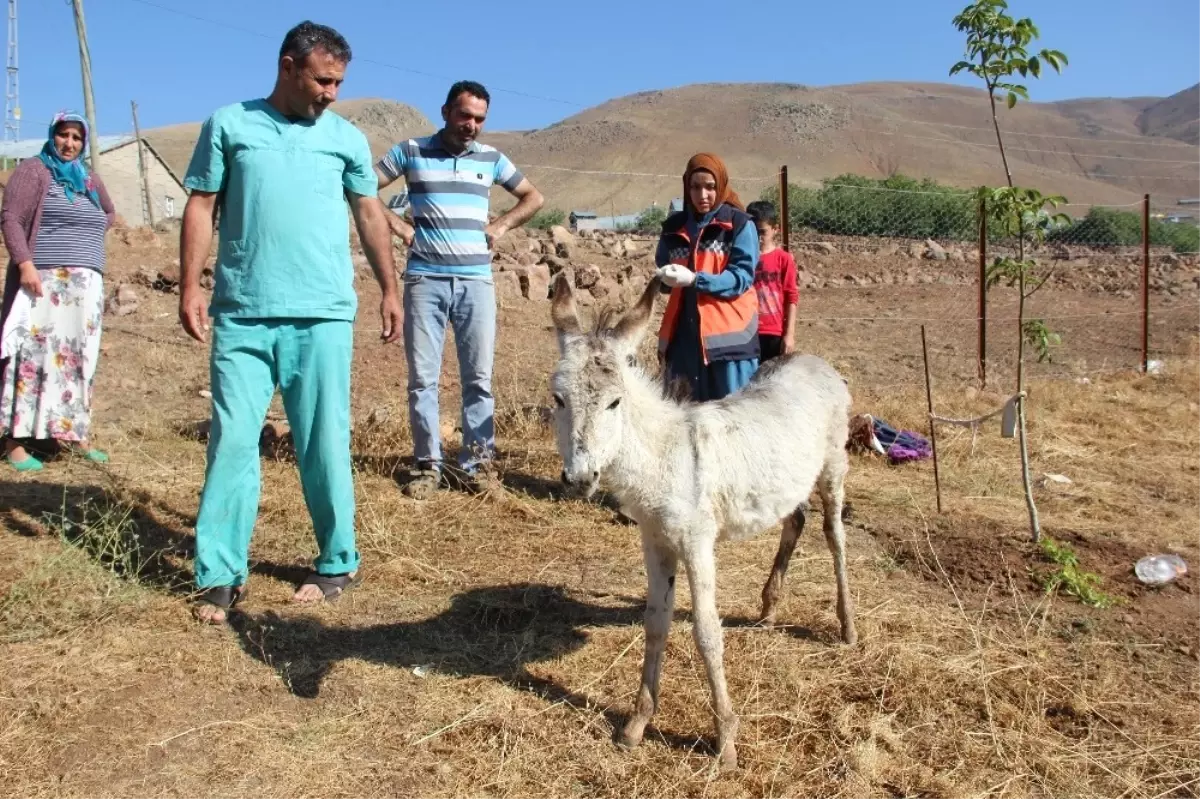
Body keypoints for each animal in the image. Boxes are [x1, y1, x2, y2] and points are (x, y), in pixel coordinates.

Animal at [549, 273, 859, 767]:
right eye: (558, 399)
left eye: (615, 402)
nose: (580, 478)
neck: (663, 455)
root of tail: (812, 360)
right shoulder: (655, 539)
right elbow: (656, 622)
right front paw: (636, 725)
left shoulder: (697, 542)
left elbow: (707, 632)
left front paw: (725, 739)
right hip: (790, 479)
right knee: (796, 519)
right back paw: (769, 606)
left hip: (833, 466)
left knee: (834, 536)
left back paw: (847, 626)